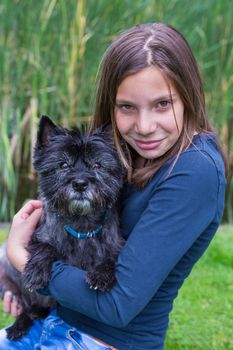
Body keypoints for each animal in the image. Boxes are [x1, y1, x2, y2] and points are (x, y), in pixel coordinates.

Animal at [0, 117, 124, 340]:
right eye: (63, 164)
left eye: (98, 165)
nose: (80, 183)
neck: (80, 223)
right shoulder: (36, 233)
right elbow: (45, 247)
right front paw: (37, 271)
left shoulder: (117, 243)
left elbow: (111, 257)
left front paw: (100, 275)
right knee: (28, 305)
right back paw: (19, 324)